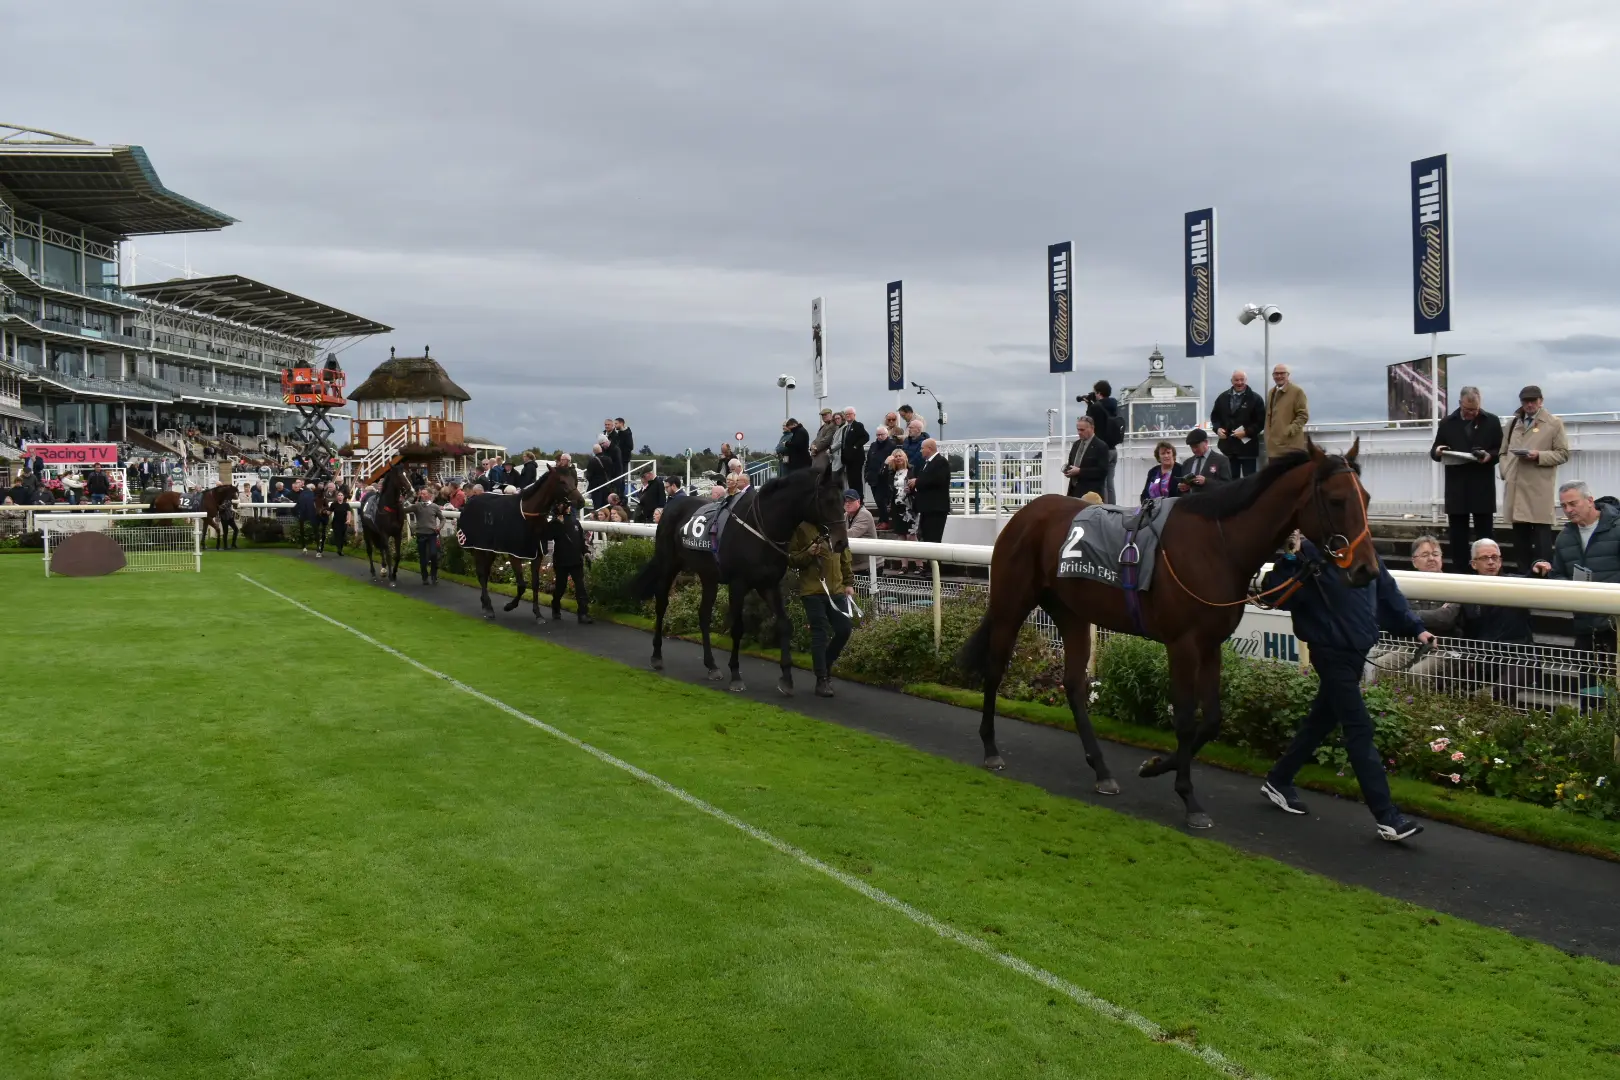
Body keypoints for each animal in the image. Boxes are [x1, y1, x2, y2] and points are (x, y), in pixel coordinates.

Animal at [463, 466, 589, 621]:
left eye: (575, 480)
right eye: (562, 481)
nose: (581, 501)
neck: (529, 514)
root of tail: (472, 499)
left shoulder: (537, 553)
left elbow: (535, 584)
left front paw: (538, 614)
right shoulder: (514, 553)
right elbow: (522, 584)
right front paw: (509, 606)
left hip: (491, 549)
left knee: (485, 573)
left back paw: (485, 603)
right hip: (478, 547)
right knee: (481, 573)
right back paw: (489, 608)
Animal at [628, 459, 848, 696]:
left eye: (844, 501)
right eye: (828, 500)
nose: (841, 543)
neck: (763, 528)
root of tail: (671, 506)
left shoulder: (769, 584)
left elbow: (784, 624)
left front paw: (787, 678)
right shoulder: (738, 584)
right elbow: (738, 628)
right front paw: (735, 675)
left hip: (708, 575)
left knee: (703, 614)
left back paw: (711, 665)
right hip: (669, 564)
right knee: (661, 604)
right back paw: (657, 656)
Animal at [952, 443, 1373, 835]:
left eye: (1366, 499)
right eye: (1337, 500)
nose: (1366, 569)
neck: (1218, 546)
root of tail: (1024, 514)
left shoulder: (1211, 643)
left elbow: (1212, 719)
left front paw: (1155, 765)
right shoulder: (1182, 643)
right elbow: (1185, 718)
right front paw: (1189, 799)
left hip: (1071, 614)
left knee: (1073, 684)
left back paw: (1102, 770)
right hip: (1012, 603)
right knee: (995, 670)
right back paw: (991, 749)